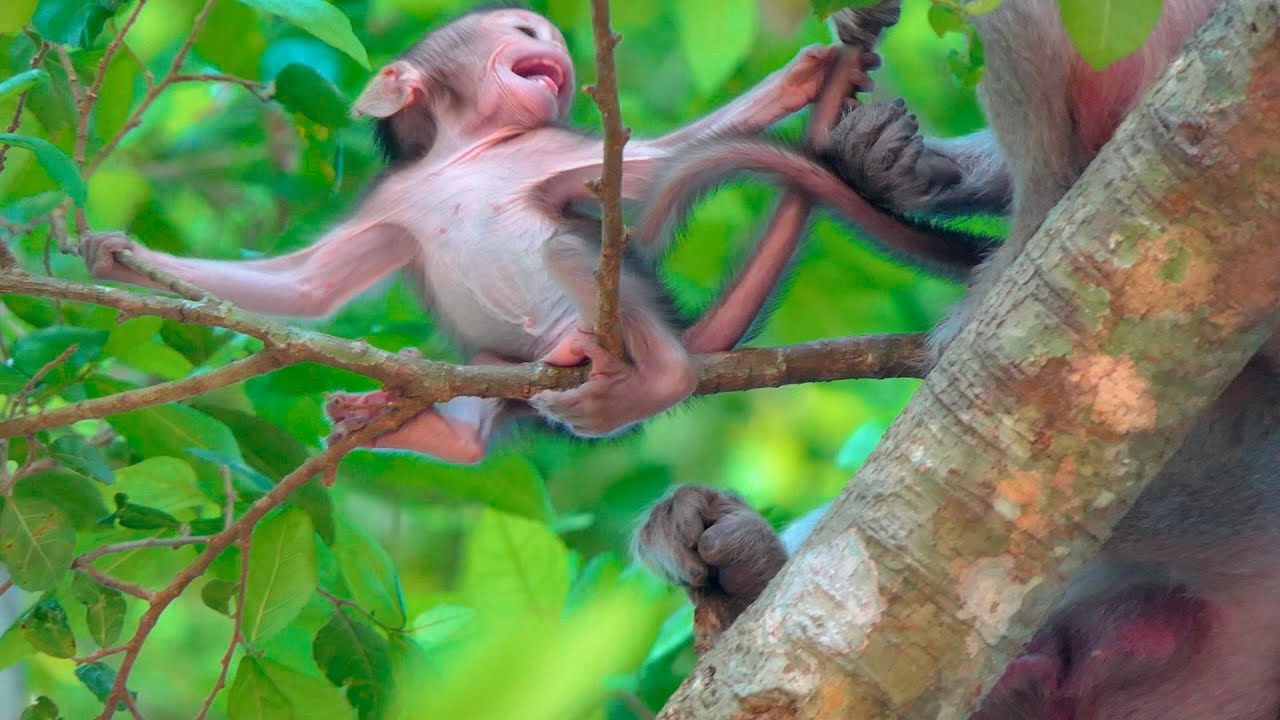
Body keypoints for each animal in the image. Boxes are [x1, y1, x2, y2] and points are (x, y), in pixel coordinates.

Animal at [79, 7, 941, 465]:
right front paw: (124, 259)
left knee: (570, 252)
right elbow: (310, 287)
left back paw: (657, 375)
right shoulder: (396, 196)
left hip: (611, 325)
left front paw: (803, 77)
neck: (467, 152)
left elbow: (652, 166)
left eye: (548, 37)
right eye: (525, 29)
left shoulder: (548, 149)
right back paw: (431, 425)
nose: (554, 47)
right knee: (486, 380)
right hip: (505, 366)